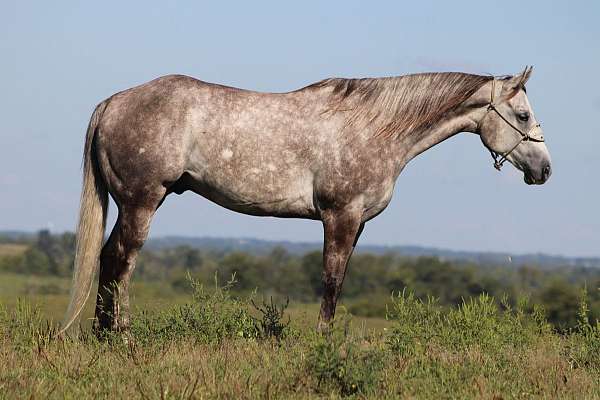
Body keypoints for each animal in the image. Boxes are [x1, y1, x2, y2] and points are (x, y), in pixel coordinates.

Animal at [62, 66, 552, 334]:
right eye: (523, 114)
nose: (544, 170)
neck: (376, 128)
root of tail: (114, 102)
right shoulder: (340, 216)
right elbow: (331, 282)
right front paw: (323, 340)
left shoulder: (358, 223)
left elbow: (340, 280)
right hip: (142, 202)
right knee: (122, 263)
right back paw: (122, 337)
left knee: (109, 259)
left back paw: (104, 336)